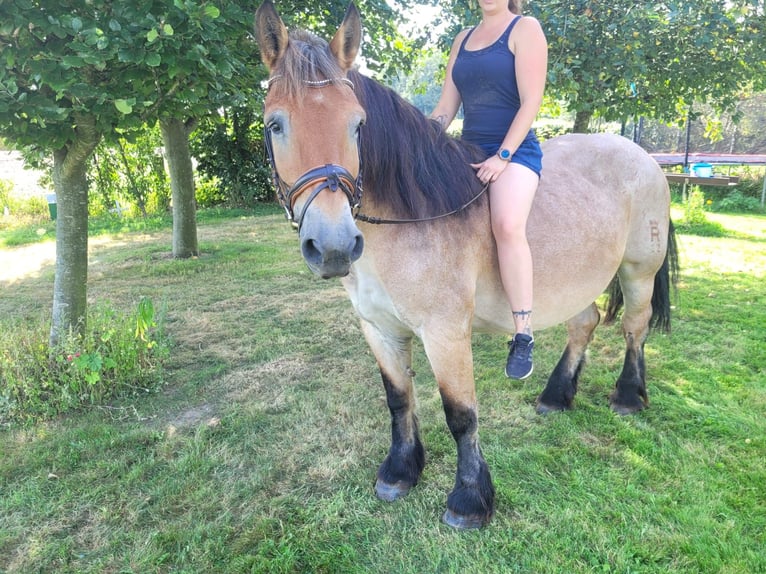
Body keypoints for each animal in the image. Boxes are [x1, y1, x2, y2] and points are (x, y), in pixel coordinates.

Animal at [255, 1, 680, 532]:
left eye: (357, 125)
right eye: (275, 125)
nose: (333, 246)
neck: (408, 218)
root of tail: (643, 156)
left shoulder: (445, 333)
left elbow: (461, 414)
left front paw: (470, 499)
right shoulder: (378, 328)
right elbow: (398, 398)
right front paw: (400, 470)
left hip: (639, 271)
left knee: (634, 328)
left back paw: (627, 396)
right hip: (574, 283)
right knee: (585, 323)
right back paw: (557, 395)